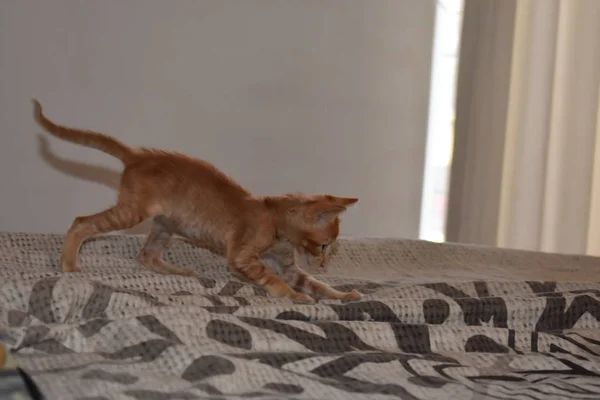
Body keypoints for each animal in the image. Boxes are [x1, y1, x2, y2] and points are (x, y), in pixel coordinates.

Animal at [32, 100, 358, 304]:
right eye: (325, 245)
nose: (324, 263)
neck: (273, 220)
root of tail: (137, 155)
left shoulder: (289, 267)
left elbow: (319, 286)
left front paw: (342, 295)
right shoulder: (242, 257)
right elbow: (274, 280)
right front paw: (294, 296)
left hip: (164, 224)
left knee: (146, 256)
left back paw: (181, 271)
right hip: (131, 213)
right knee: (82, 223)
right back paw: (69, 265)